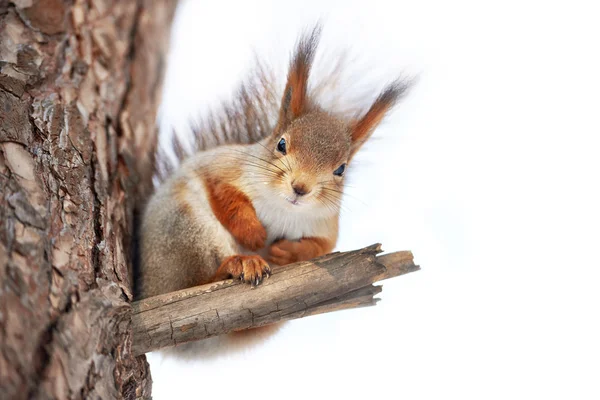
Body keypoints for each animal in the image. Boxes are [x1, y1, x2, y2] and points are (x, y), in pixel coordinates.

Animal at [138, 25, 412, 300]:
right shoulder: (220, 166)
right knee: (196, 280)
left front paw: (286, 251)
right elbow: (224, 194)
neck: (282, 208)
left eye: (341, 169)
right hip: (185, 226)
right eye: (281, 144)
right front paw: (255, 234)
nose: (300, 188)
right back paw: (239, 263)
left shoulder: (326, 226)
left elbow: (319, 248)